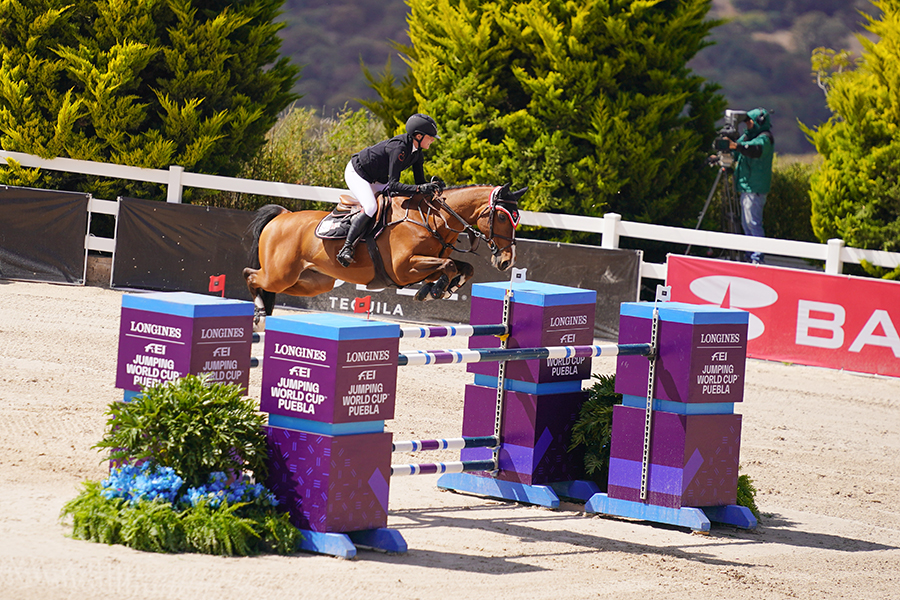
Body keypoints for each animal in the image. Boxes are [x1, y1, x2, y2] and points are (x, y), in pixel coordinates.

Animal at [243, 183, 532, 326]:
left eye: (517, 217)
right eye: (504, 218)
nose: (507, 261)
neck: (432, 220)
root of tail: (282, 215)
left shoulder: (423, 266)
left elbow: (461, 268)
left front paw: (437, 289)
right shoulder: (404, 268)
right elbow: (449, 265)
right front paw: (434, 291)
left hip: (311, 281)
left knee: (268, 284)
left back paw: (263, 313)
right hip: (280, 274)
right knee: (251, 276)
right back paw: (258, 313)